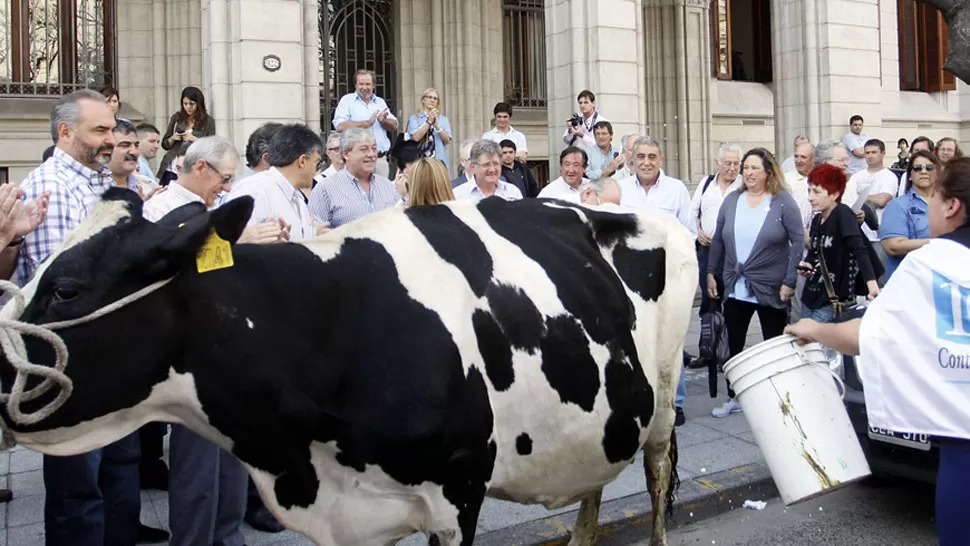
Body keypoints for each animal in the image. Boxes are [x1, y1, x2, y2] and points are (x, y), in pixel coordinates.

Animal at [0, 188, 696, 544]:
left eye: (64, 289)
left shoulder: (459, 491)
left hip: (662, 402)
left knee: (656, 478)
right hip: (603, 409)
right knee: (595, 478)